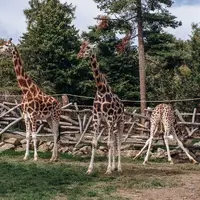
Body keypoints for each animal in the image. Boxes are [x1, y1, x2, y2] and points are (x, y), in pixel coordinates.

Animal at [77, 40, 124, 173]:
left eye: (88, 47)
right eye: (80, 47)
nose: (79, 55)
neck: (101, 90)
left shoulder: (109, 119)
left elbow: (108, 144)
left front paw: (108, 170)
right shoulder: (96, 119)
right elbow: (94, 143)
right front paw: (90, 169)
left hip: (119, 122)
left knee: (118, 142)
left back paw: (119, 168)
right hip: (108, 125)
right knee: (113, 141)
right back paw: (114, 166)